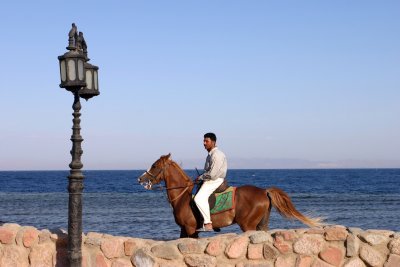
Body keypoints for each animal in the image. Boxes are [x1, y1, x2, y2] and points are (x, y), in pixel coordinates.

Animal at [138, 155, 322, 239]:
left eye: (154, 165)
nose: (140, 179)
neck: (182, 198)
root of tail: (264, 191)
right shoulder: (184, 230)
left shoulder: (190, 229)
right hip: (261, 224)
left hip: (248, 225)